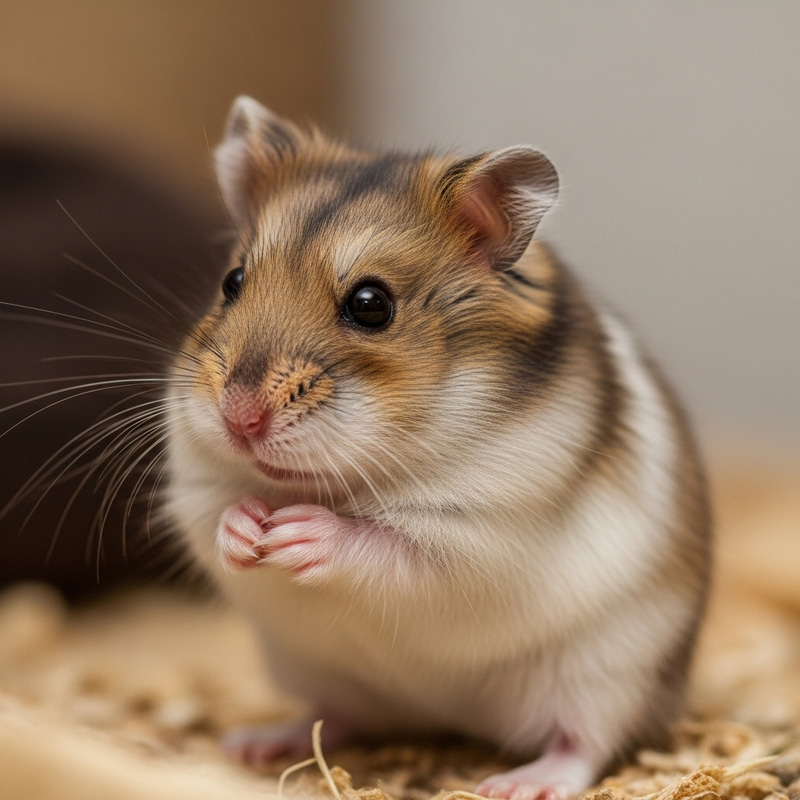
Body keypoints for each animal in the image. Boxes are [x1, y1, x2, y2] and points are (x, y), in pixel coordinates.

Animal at [165, 96, 711, 800]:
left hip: (610, 671)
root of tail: (441, 716)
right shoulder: (193, 489)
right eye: (232, 281)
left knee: (584, 743)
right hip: (316, 672)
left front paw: (295, 534)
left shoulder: (477, 539)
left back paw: (519, 784)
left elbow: (393, 546)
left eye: (371, 304)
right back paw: (255, 745)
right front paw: (249, 527)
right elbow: (216, 516)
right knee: (332, 716)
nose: (240, 419)